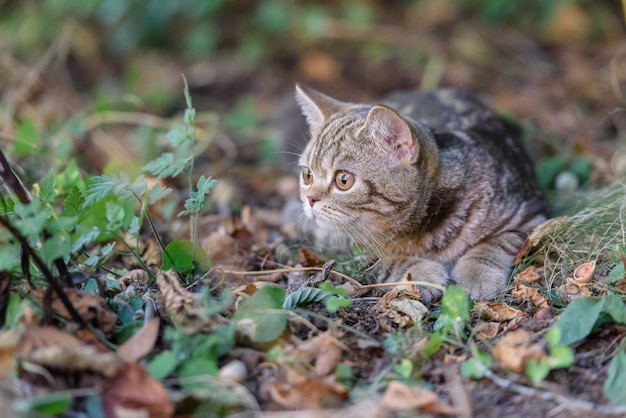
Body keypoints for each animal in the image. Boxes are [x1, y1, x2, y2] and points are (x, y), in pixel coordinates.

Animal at [294, 84, 544, 300]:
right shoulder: (344, 244)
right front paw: (420, 272)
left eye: (343, 180)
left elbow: (494, 244)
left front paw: (477, 275)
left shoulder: (529, 218)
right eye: (307, 175)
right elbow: (386, 258)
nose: (310, 199)